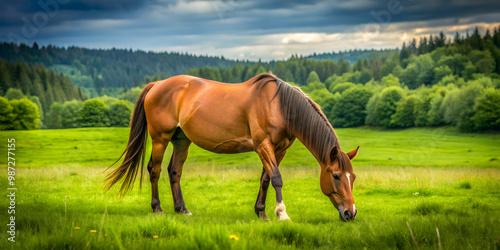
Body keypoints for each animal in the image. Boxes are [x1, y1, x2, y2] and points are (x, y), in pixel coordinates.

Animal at [105, 73, 358, 222]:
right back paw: (157, 208)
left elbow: (265, 179)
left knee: (174, 171)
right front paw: (281, 213)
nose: (351, 213)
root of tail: (157, 84)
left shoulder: (280, 149)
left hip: (181, 140)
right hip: (160, 138)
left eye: (352, 177)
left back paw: (182, 209)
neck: (279, 105)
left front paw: (261, 212)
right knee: (154, 170)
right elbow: (277, 179)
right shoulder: (263, 145)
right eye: (336, 175)